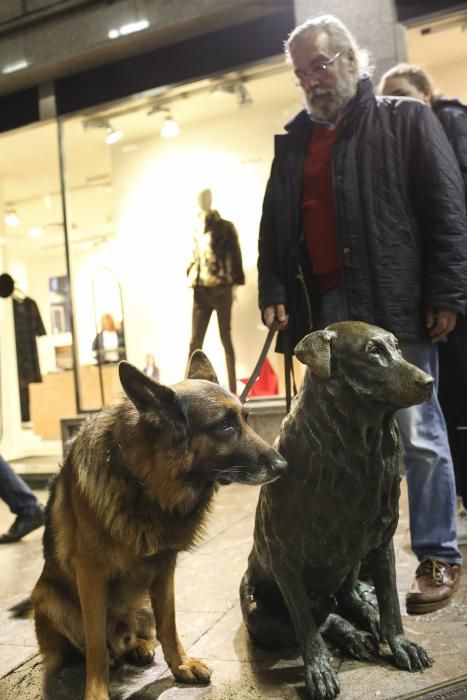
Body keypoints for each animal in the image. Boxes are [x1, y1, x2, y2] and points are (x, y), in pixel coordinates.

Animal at [31, 352, 288, 696]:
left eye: (246, 419)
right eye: (225, 425)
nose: (283, 465)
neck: (144, 483)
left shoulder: (164, 566)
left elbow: (169, 622)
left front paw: (180, 665)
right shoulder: (91, 574)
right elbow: (95, 643)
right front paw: (97, 692)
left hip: (140, 604)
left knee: (131, 634)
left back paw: (137, 646)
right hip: (47, 597)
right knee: (93, 644)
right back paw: (114, 655)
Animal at [243, 322, 434, 700]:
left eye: (397, 347)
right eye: (373, 351)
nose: (429, 381)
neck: (355, 453)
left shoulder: (383, 543)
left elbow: (391, 604)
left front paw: (400, 643)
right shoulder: (284, 560)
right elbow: (305, 626)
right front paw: (319, 670)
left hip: (352, 564)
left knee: (347, 598)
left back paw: (367, 614)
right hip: (257, 610)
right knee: (320, 619)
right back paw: (353, 634)